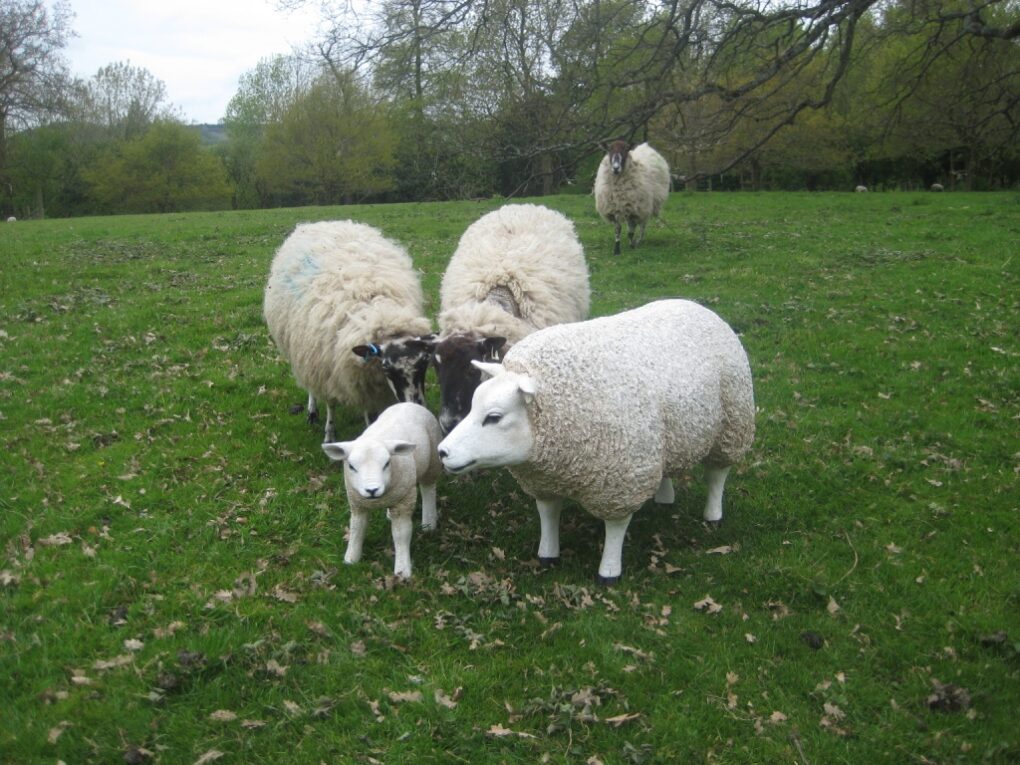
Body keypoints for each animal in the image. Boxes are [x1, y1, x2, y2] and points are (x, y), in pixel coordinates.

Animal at [264, 220, 434, 442]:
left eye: (425, 365)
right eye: (387, 369)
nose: (417, 406)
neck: (377, 309)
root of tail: (324, 222)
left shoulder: (365, 379)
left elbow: (371, 413)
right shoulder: (329, 367)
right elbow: (331, 404)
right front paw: (329, 434)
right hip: (305, 352)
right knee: (311, 385)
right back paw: (312, 410)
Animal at [322, 402, 442, 579]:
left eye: (387, 463)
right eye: (351, 466)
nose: (372, 490)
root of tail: (409, 403)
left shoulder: (404, 502)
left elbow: (401, 534)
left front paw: (402, 570)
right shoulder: (357, 503)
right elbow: (357, 528)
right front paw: (351, 559)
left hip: (432, 460)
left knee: (428, 488)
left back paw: (429, 523)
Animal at [437, 299, 755, 584]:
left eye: (493, 417)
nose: (442, 451)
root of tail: (699, 307)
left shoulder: (619, 481)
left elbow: (615, 529)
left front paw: (609, 571)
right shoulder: (545, 478)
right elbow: (548, 514)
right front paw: (547, 554)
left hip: (731, 426)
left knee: (717, 475)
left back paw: (713, 515)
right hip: (663, 438)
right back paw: (665, 498)